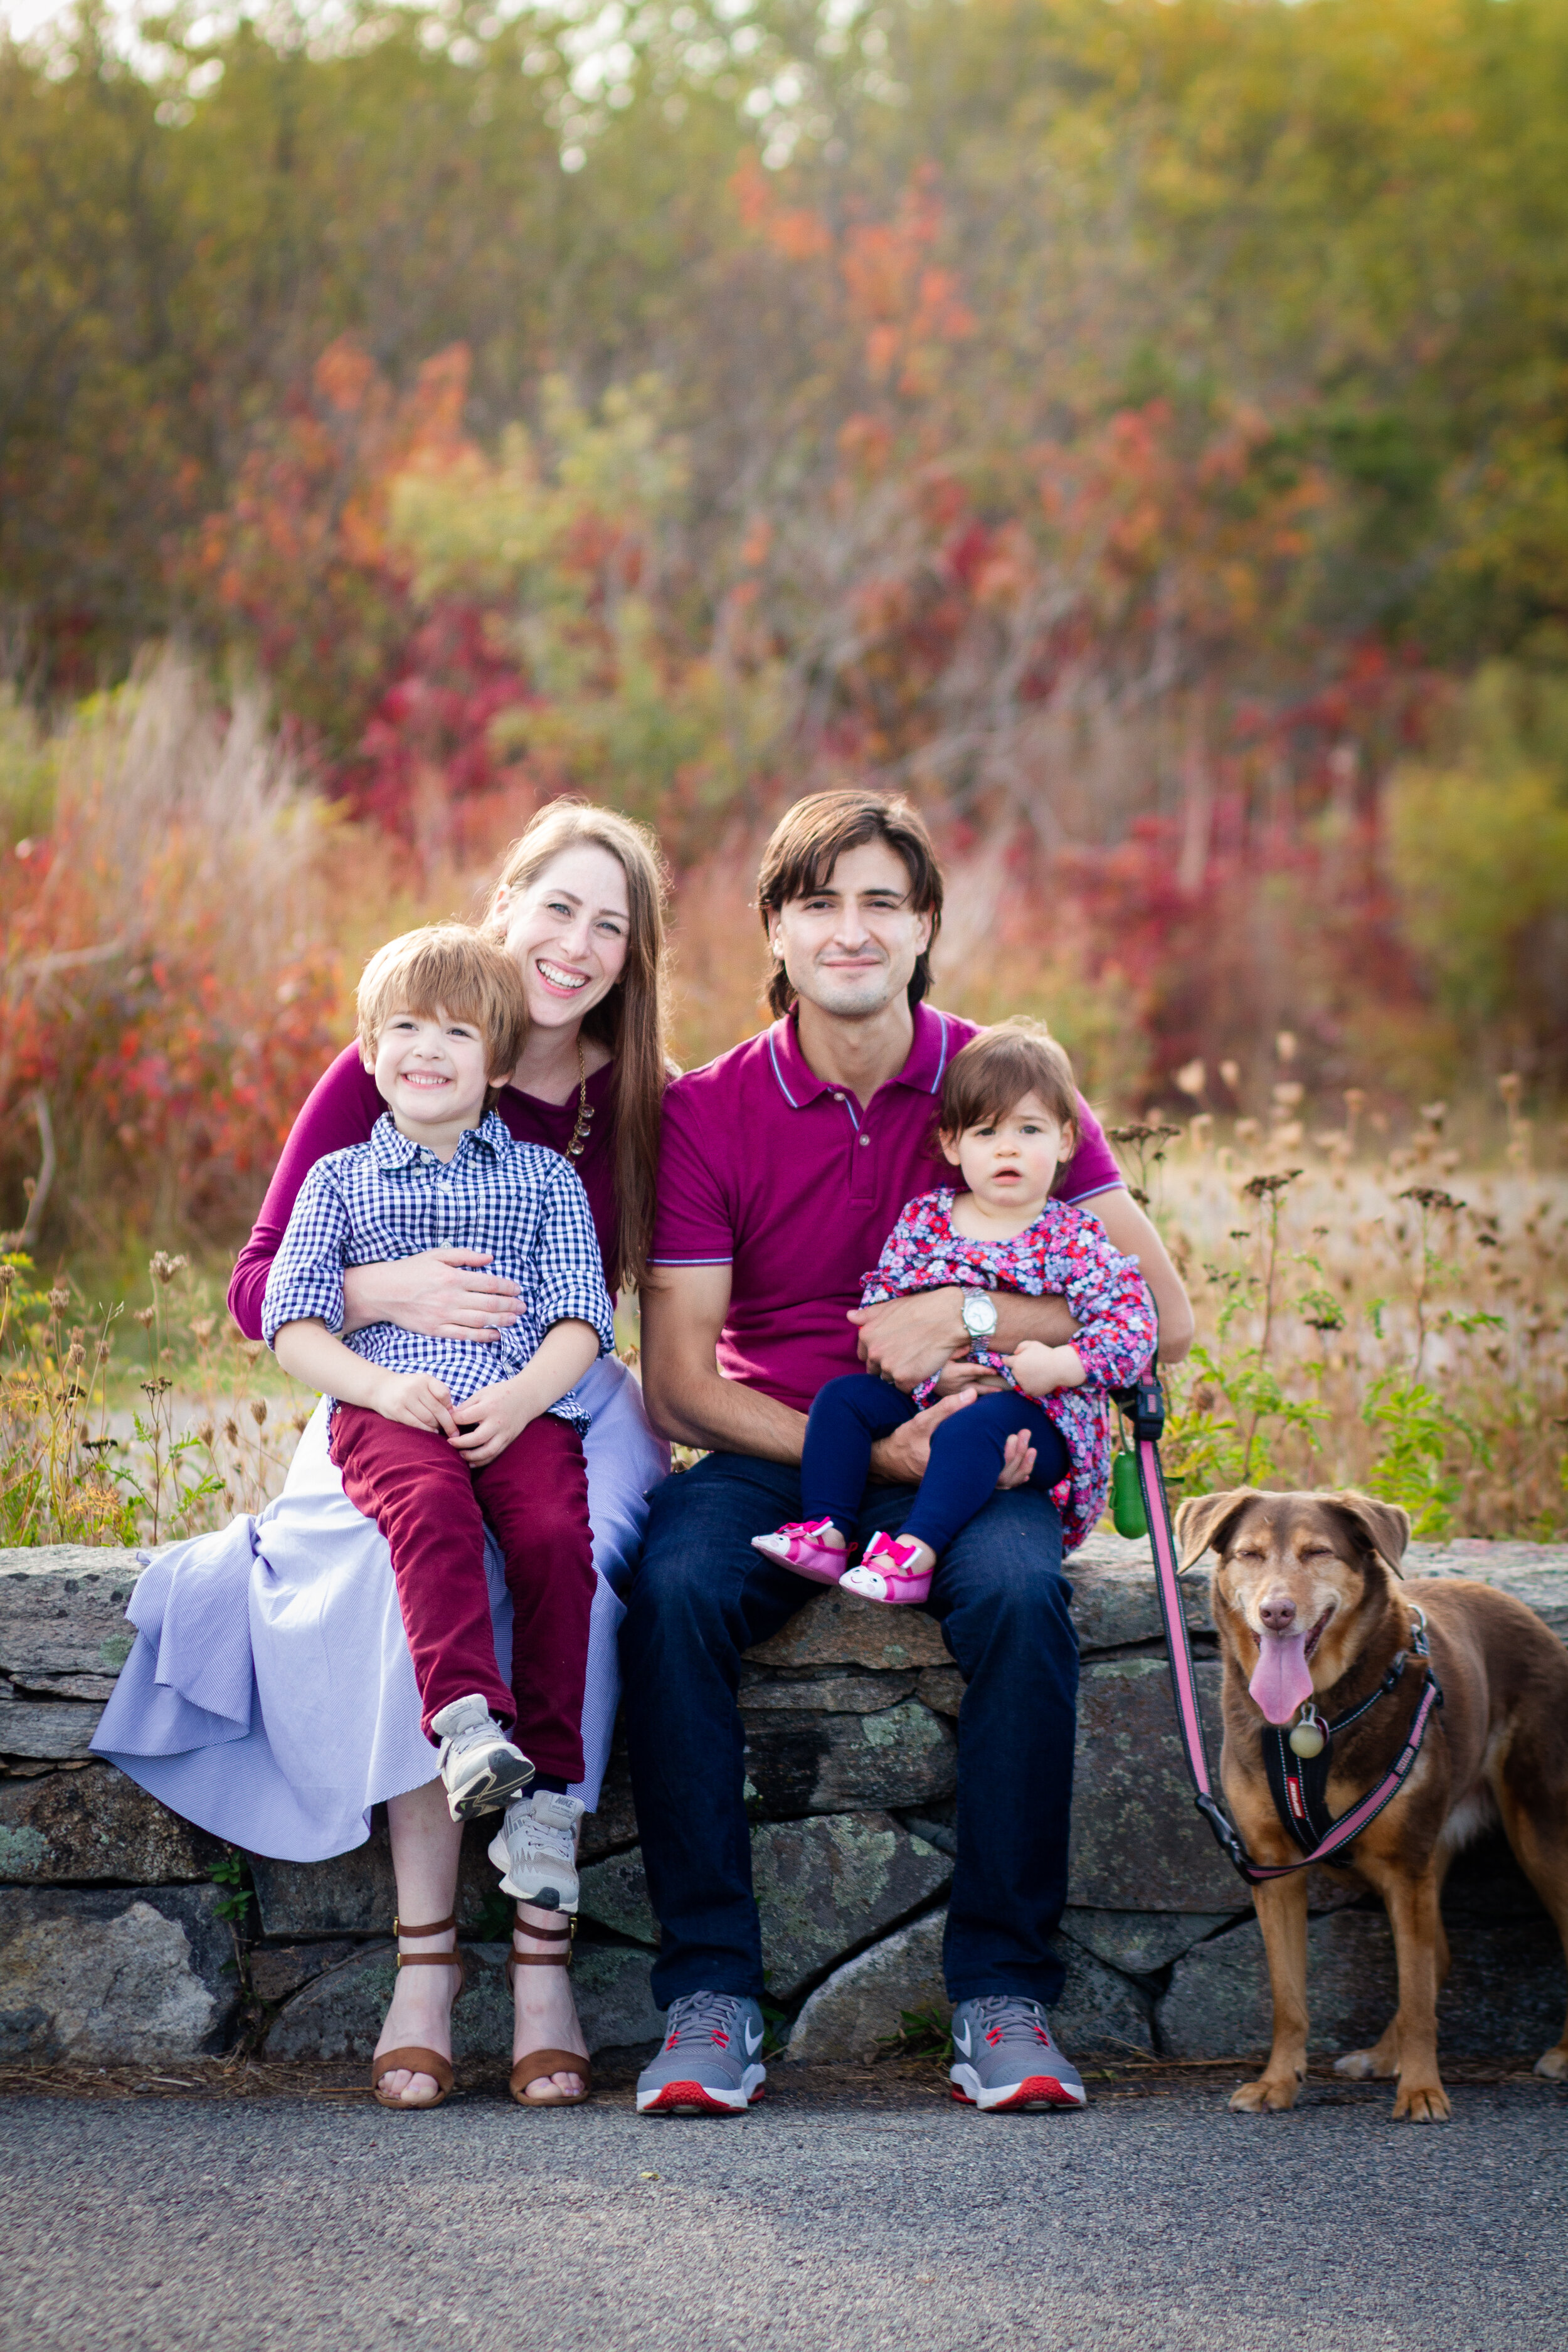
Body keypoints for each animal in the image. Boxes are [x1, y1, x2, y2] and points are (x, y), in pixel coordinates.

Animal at [1175, 1496, 1568, 2126]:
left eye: (1318, 1551)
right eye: (1250, 1554)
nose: (1276, 1613)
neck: (1311, 1714)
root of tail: (1528, 1616)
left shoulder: (1406, 1867)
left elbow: (1416, 1994)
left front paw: (1424, 2090)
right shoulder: (1273, 1868)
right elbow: (1289, 1999)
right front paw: (1278, 2082)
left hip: (1539, 1832)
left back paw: (1555, 2053)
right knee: (1438, 1956)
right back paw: (1383, 2057)